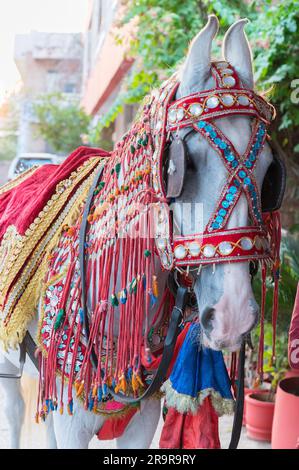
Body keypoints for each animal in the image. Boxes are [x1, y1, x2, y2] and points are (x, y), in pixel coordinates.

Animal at [0, 14, 274, 448]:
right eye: (183, 166)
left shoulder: (142, 414)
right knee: (13, 412)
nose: (232, 315)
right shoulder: (71, 418)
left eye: (268, 171)